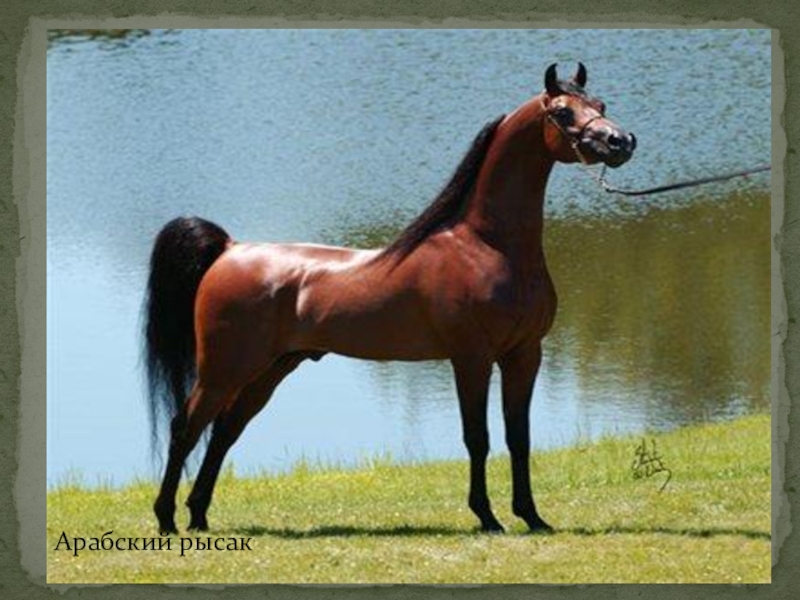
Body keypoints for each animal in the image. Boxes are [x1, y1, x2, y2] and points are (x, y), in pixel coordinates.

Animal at [144, 63, 636, 535]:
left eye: (600, 103)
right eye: (563, 112)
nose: (621, 142)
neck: (488, 246)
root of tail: (229, 249)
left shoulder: (524, 354)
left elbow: (519, 438)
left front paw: (531, 516)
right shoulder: (471, 358)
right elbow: (477, 437)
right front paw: (487, 516)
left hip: (269, 369)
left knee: (225, 430)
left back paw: (199, 515)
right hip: (224, 369)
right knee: (186, 427)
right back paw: (167, 518)